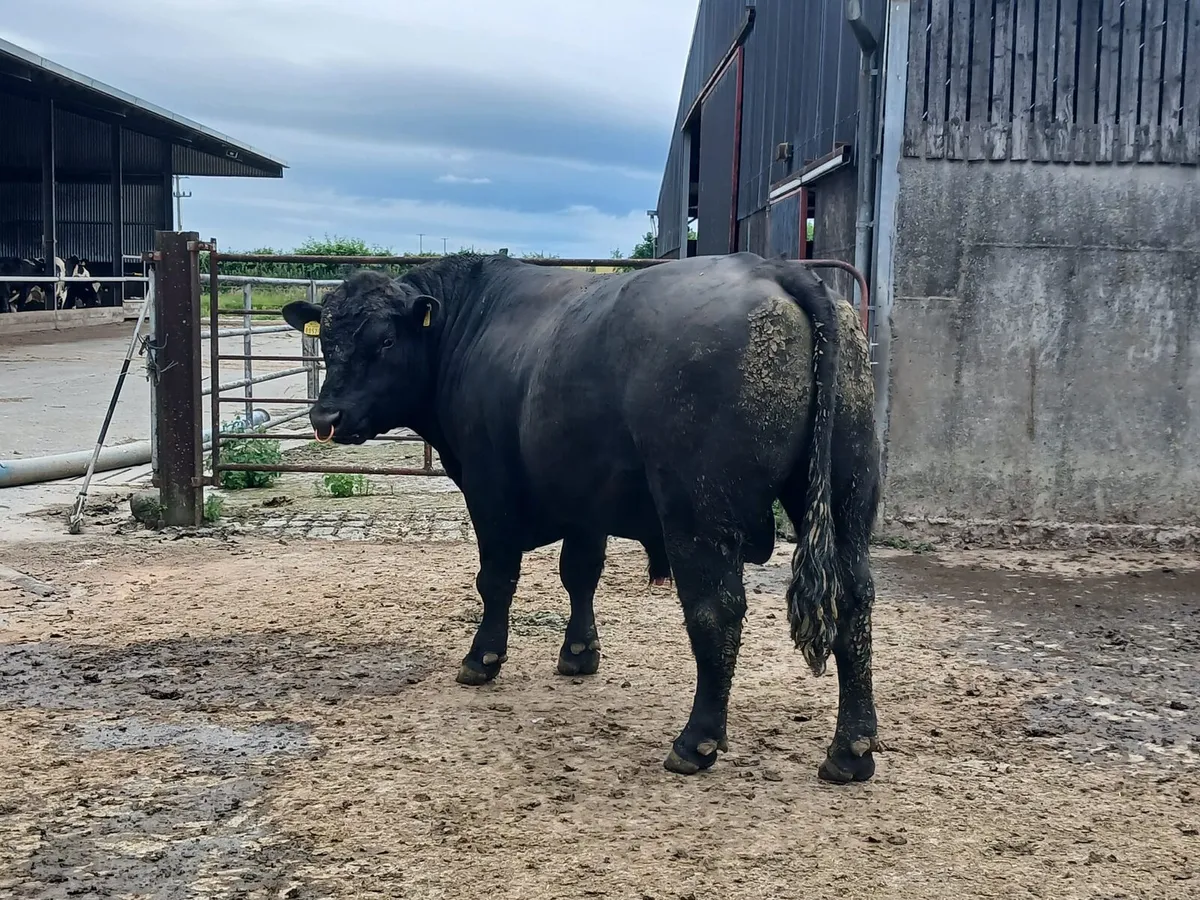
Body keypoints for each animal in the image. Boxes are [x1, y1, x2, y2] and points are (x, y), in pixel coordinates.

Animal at [280, 252, 882, 782]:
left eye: (384, 340)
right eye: (326, 340)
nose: (325, 416)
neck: (469, 324)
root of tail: (772, 269)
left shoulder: (490, 490)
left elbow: (496, 579)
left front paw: (482, 659)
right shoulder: (586, 501)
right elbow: (580, 574)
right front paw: (578, 654)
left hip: (699, 513)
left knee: (717, 611)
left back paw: (697, 741)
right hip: (847, 499)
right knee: (854, 599)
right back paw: (851, 749)